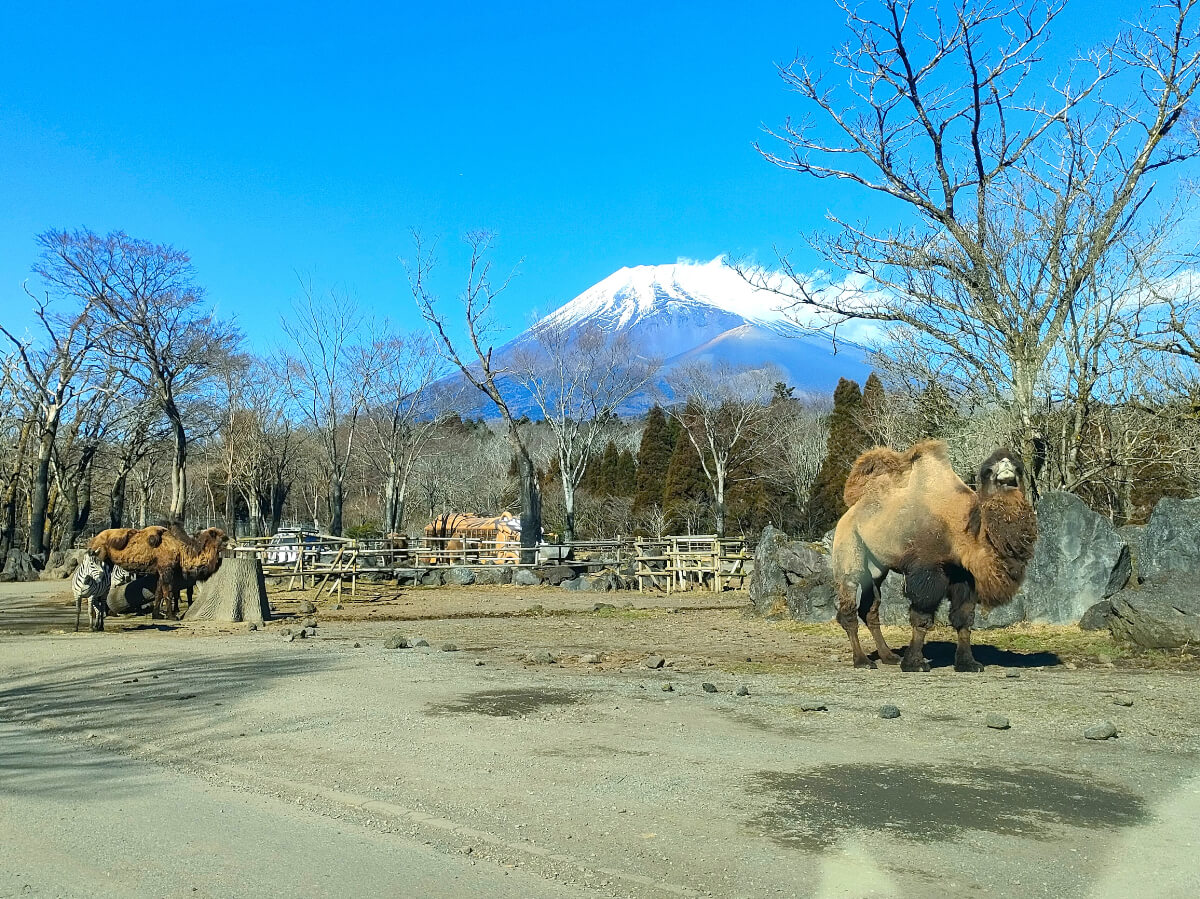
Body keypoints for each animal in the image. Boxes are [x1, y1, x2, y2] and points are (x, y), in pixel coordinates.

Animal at [830, 439, 1036, 672]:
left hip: (876, 566)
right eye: (987, 470)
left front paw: (968, 663)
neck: (964, 531)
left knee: (870, 608)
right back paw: (862, 661)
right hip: (848, 545)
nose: (1006, 465)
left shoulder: (963, 574)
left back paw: (889, 656)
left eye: (1017, 466)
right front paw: (915, 663)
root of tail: (851, 511)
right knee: (849, 601)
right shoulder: (928, 570)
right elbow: (922, 617)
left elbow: (964, 618)